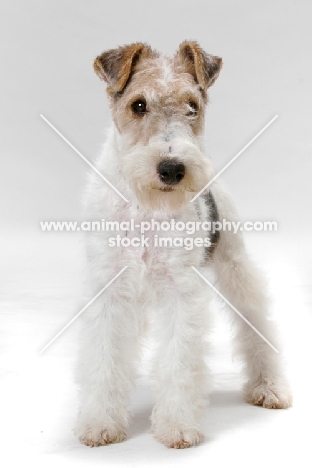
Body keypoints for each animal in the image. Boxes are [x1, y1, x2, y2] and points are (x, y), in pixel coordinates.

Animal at [73, 42, 292, 448]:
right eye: (138, 105)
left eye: (193, 106)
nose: (172, 169)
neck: (147, 206)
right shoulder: (109, 288)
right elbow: (105, 359)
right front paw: (99, 424)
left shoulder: (181, 289)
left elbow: (178, 361)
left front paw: (176, 427)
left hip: (236, 265)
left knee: (257, 325)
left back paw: (270, 387)